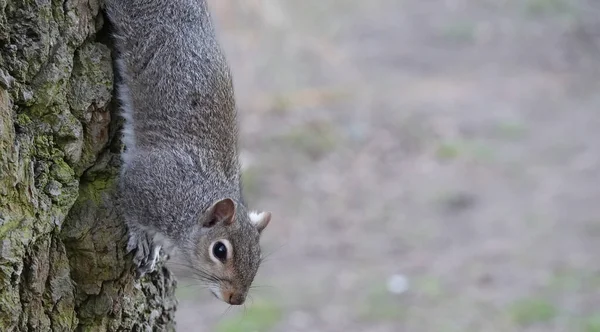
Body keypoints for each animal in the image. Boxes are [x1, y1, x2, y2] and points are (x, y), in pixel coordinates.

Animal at [103, 0, 272, 306]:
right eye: (220, 250)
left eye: (258, 256)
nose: (237, 300)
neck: (193, 199)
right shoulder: (147, 181)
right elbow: (128, 202)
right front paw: (141, 237)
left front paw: (155, 248)